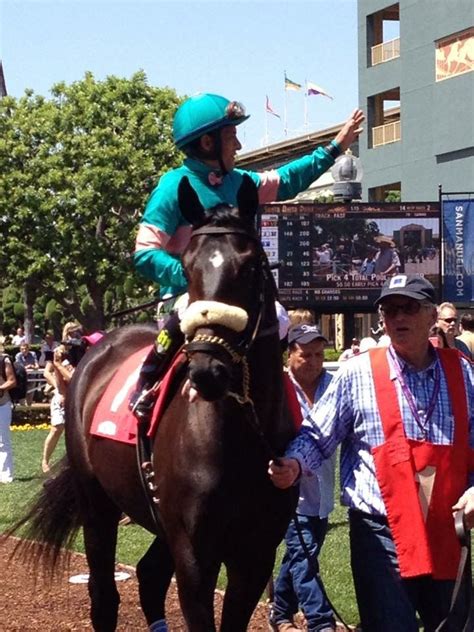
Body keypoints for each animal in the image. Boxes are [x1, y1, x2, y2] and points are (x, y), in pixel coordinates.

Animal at [12, 177, 296, 632]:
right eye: (187, 267)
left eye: (251, 266)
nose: (208, 369)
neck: (241, 437)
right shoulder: (195, 556)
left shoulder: (256, 554)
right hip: (97, 505)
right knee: (104, 596)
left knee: (148, 576)